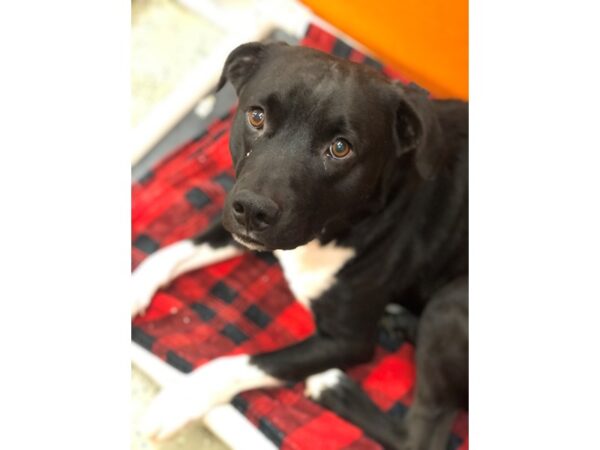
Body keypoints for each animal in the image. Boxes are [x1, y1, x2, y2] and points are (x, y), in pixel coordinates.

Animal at [134, 42, 466, 450]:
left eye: (340, 148)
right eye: (256, 116)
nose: (253, 210)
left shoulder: (347, 340)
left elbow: (251, 361)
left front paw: (184, 397)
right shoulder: (239, 224)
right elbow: (174, 251)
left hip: (451, 302)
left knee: (421, 436)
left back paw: (334, 387)